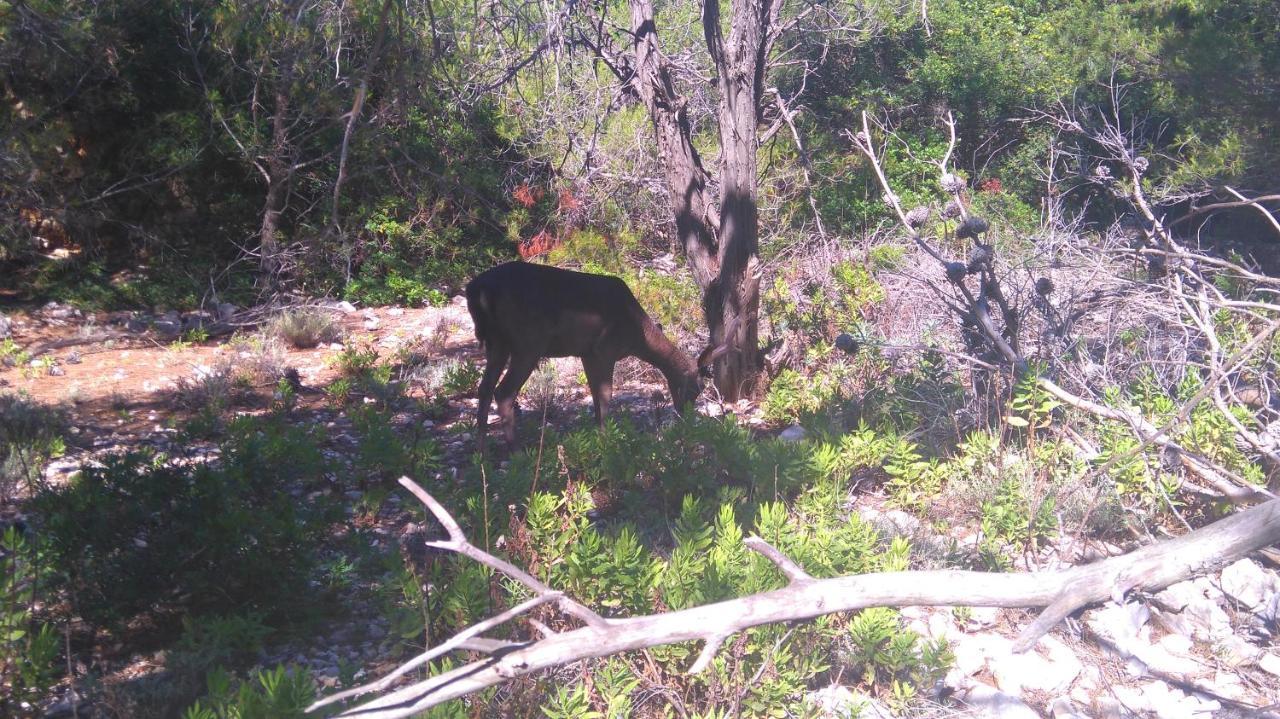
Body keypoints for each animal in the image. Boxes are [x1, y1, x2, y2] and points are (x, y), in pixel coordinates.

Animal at [468, 262, 732, 452]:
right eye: (697, 388)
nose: (685, 417)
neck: (637, 333)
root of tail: (479, 289)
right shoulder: (604, 349)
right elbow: (605, 395)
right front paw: (606, 439)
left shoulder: (587, 353)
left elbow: (596, 396)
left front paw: (599, 434)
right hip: (528, 343)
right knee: (503, 391)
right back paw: (516, 450)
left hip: (496, 343)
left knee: (484, 388)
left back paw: (481, 451)